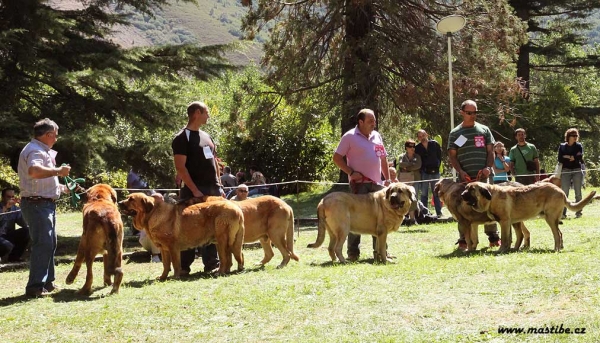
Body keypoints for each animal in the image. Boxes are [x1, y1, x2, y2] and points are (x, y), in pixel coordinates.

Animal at [460, 183, 596, 253]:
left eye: (471, 190)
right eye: (466, 188)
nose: (461, 195)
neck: (491, 197)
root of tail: (561, 191)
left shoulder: (504, 222)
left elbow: (505, 238)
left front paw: (501, 250)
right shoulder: (511, 222)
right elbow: (513, 237)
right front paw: (511, 249)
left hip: (550, 219)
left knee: (557, 234)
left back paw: (556, 249)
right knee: (560, 233)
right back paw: (560, 247)